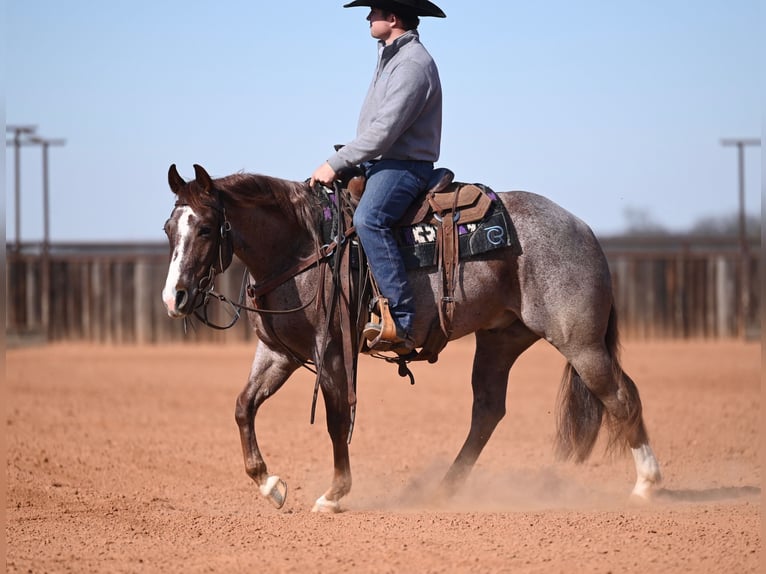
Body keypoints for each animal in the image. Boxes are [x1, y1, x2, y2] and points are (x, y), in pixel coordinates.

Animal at [161, 163, 662, 512]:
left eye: (204, 228)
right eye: (169, 229)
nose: (174, 296)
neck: (302, 246)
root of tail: (583, 229)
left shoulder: (332, 351)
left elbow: (336, 419)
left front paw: (334, 493)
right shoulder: (279, 353)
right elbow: (243, 406)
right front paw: (269, 484)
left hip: (580, 342)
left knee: (622, 397)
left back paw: (646, 485)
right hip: (500, 340)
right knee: (488, 412)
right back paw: (445, 489)